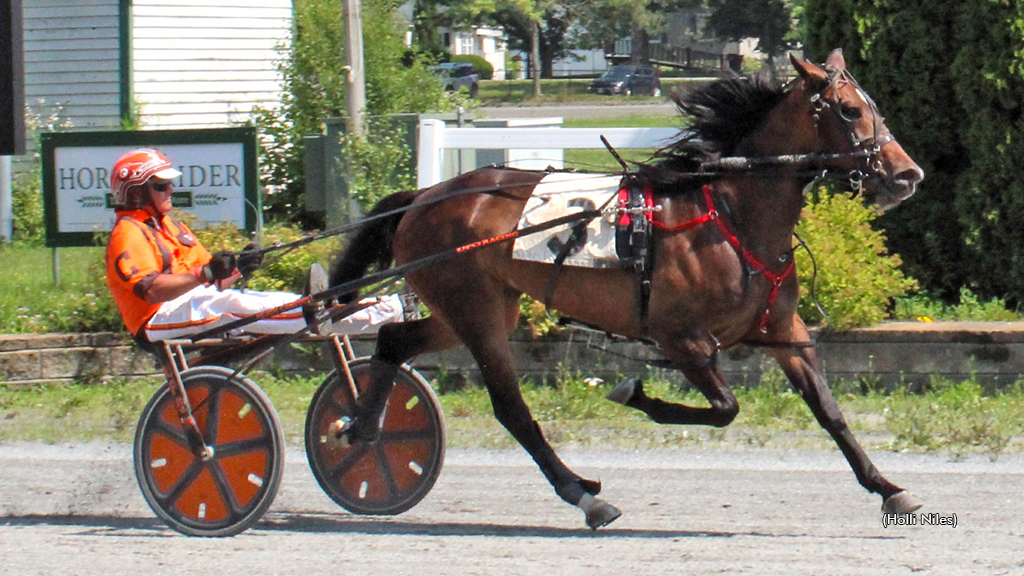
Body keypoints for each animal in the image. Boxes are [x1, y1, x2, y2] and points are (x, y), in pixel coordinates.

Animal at [331, 50, 925, 528]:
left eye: (871, 105)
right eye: (848, 110)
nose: (907, 175)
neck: (732, 215)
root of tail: (424, 195)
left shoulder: (782, 327)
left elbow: (828, 410)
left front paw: (889, 488)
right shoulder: (680, 337)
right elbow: (725, 408)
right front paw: (634, 394)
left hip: (481, 308)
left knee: (394, 341)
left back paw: (363, 427)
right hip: (474, 311)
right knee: (510, 408)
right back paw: (584, 495)